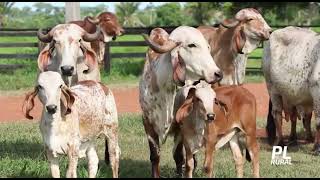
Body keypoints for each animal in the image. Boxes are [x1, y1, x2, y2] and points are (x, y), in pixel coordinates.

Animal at [140, 26, 222, 177]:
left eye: (208, 47)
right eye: (192, 45)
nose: (218, 74)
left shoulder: (180, 126)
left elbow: (178, 156)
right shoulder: (147, 122)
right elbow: (155, 156)